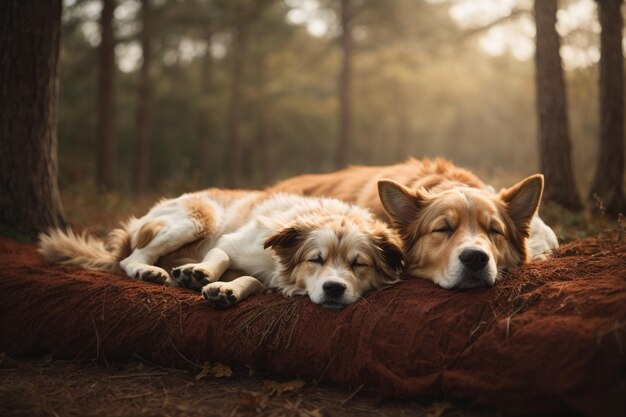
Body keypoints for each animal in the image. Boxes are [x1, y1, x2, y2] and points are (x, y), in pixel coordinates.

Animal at [39, 190, 402, 308]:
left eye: (358, 265)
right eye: (316, 259)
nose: (333, 289)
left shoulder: (267, 275)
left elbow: (252, 281)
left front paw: (226, 290)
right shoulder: (234, 242)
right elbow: (221, 254)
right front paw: (200, 274)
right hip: (198, 218)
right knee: (132, 258)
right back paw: (153, 271)